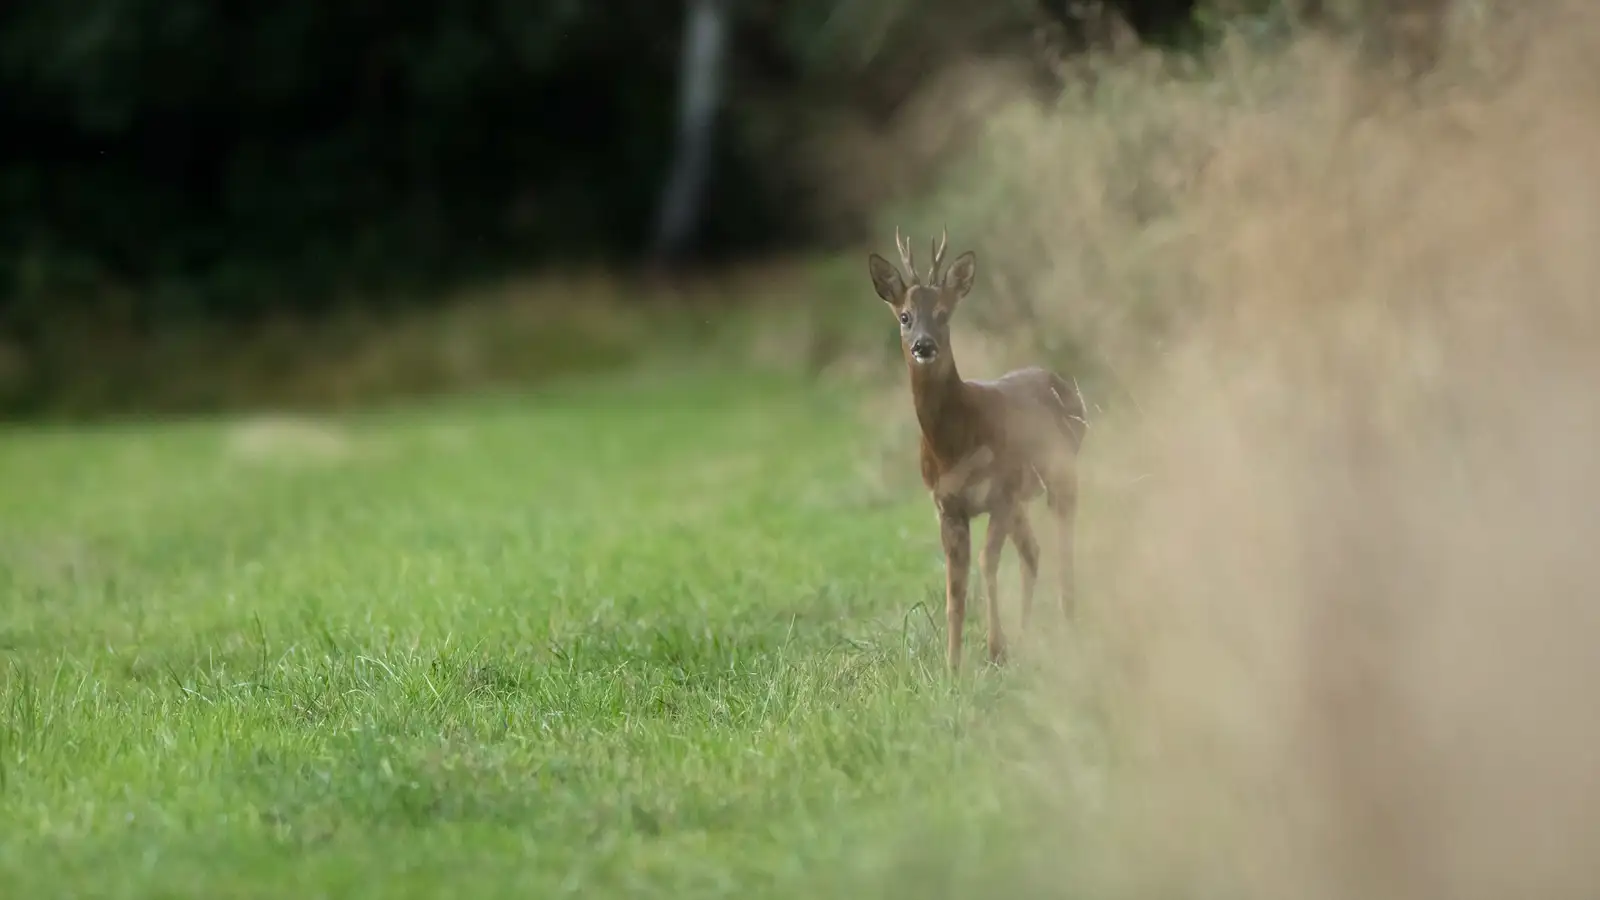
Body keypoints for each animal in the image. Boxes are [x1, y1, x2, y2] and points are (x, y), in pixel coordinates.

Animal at [868, 228, 1087, 673]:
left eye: (943, 314)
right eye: (905, 316)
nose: (923, 346)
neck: (952, 445)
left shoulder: (999, 491)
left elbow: (987, 563)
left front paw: (995, 650)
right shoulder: (947, 506)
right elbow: (955, 584)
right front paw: (952, 667)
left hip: (1059, 473)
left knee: (1063, 542)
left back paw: (1065, 623)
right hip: (1022, 498)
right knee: (1033, 551)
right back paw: (1027, 634)